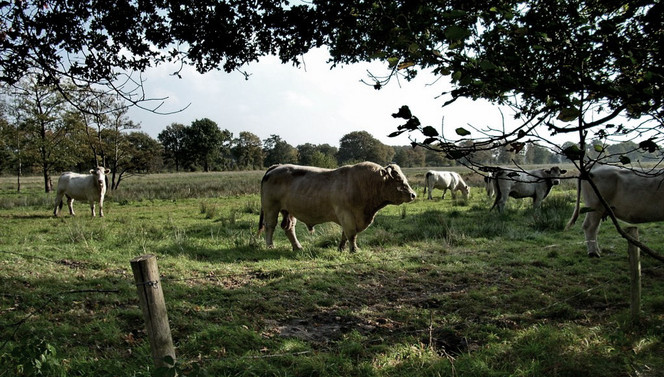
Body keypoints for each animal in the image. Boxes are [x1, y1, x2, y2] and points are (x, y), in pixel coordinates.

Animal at [258, 161, 416, 251]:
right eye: (398, 179)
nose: (413, 194)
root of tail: (278, 166)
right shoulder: (347, 215)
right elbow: (351, 233)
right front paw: (354, 250)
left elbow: (345, 234)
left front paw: (341, 248)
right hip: (271, 207)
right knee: (270, 226)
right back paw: (270, 246)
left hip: (288, 210)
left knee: (289, 228)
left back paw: (297, 247)